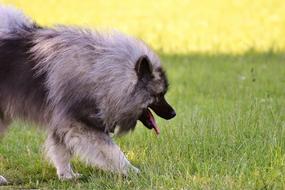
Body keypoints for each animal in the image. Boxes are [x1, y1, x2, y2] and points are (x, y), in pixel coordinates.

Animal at [0, 4, 175, 183]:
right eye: (158, 95)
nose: (173, 113)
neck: (102, 75)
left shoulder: (63, 121)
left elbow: (61, 151)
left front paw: (67, 175)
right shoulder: (79, 122)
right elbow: (113, 151)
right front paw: (132, 171)